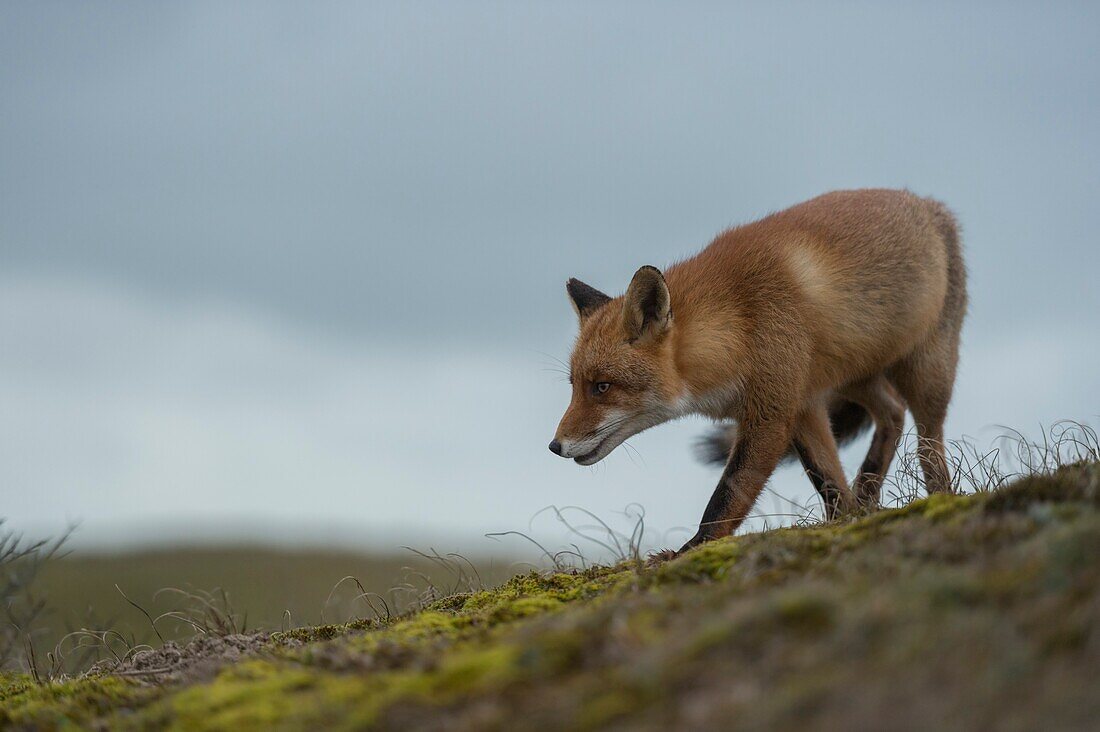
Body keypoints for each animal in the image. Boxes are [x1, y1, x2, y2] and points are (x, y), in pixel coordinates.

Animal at [547, 188, 963, 554]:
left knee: (928, 442)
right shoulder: (803, 403)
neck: (738, 327)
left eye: (602, 387)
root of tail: (928, 203)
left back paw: (941, 496)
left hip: (928, 370)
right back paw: (867, 494)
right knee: (892, 411)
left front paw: (690, 549)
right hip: (851, 376)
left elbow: (729, 493)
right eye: (574, 385)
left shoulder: (772, 414)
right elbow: (827, 480)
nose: (555, 446)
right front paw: (843, 521)